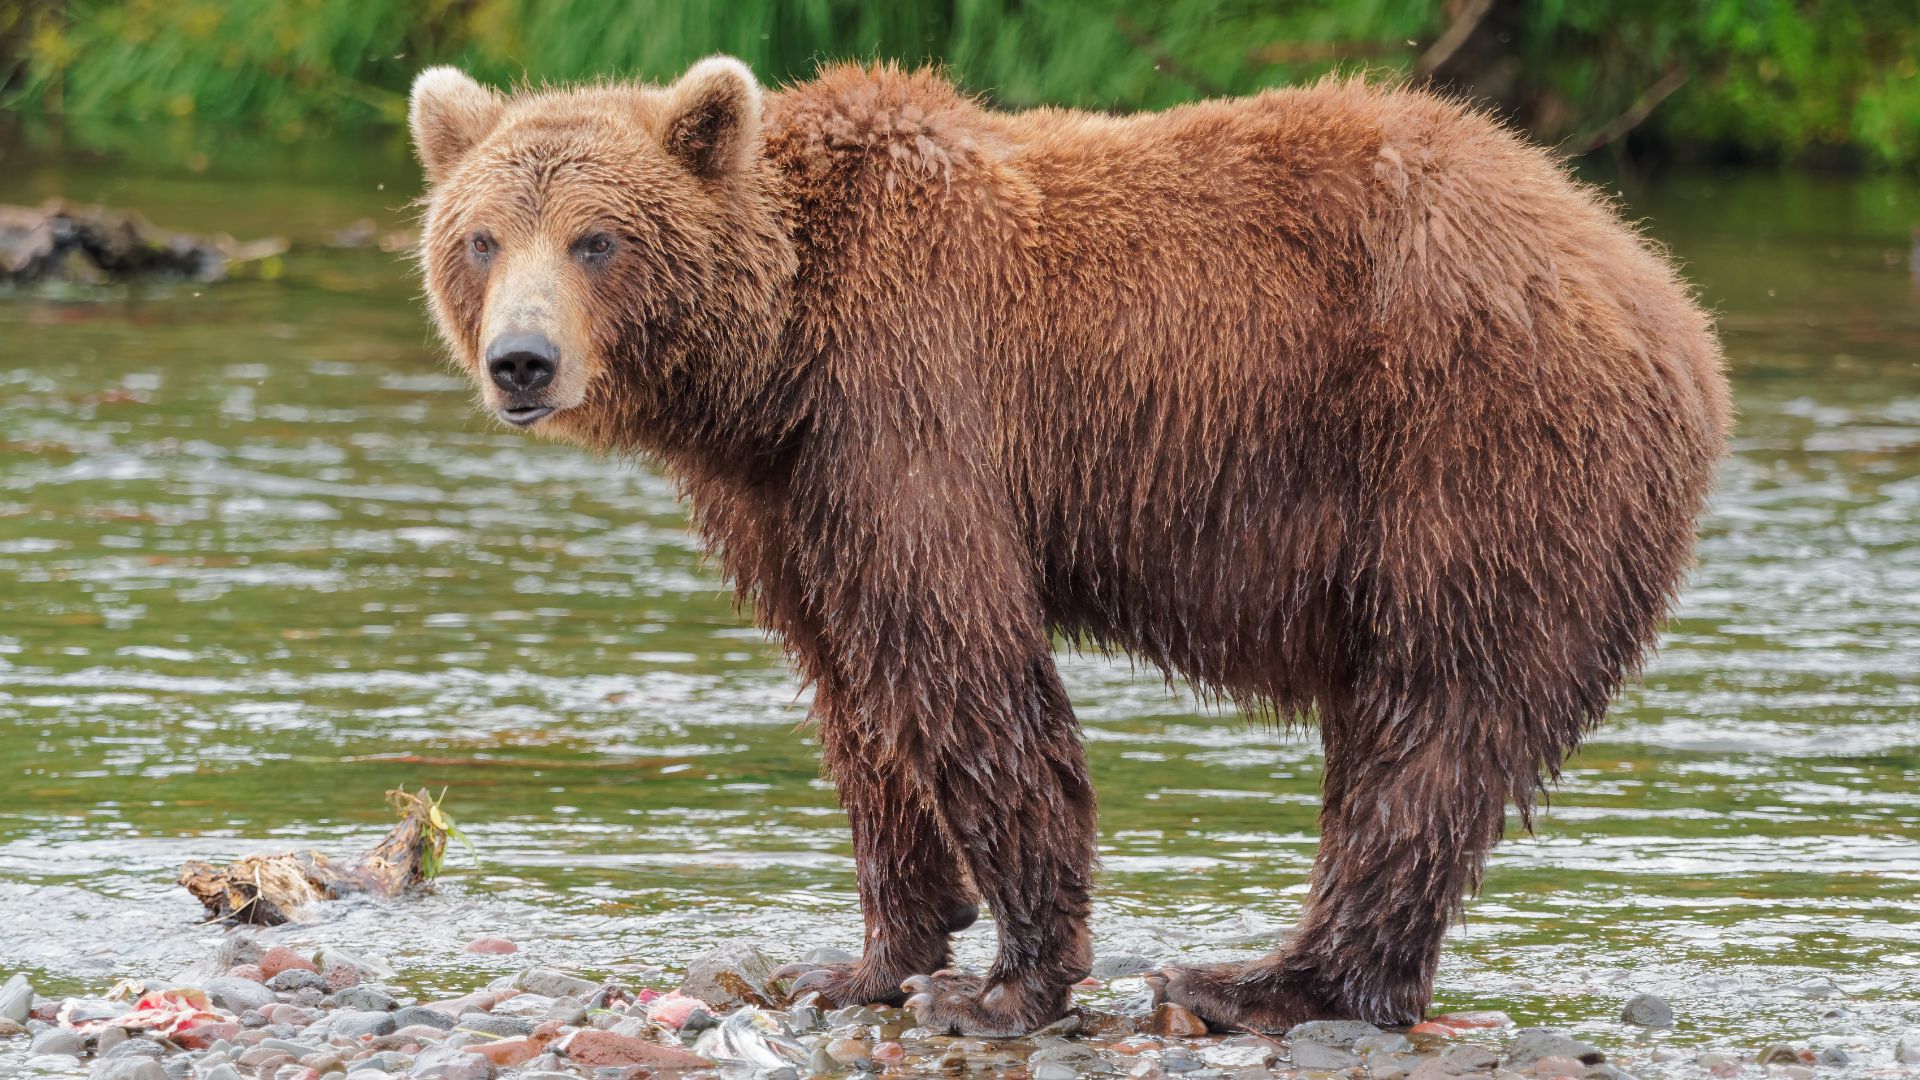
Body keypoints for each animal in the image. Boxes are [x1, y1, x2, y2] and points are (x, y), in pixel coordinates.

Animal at [407, 57, 1729, 1037]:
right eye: (482, 238)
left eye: (596, 239)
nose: (522, 361)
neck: (775, 361)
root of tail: (1663, 295)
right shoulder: (788, 497)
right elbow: (853, 692)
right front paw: (866, 956)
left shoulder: (911, 404)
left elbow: (960, 663)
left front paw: (1003, 983)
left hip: (1475, 457)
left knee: (1432, 724)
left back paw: (1259, 981)